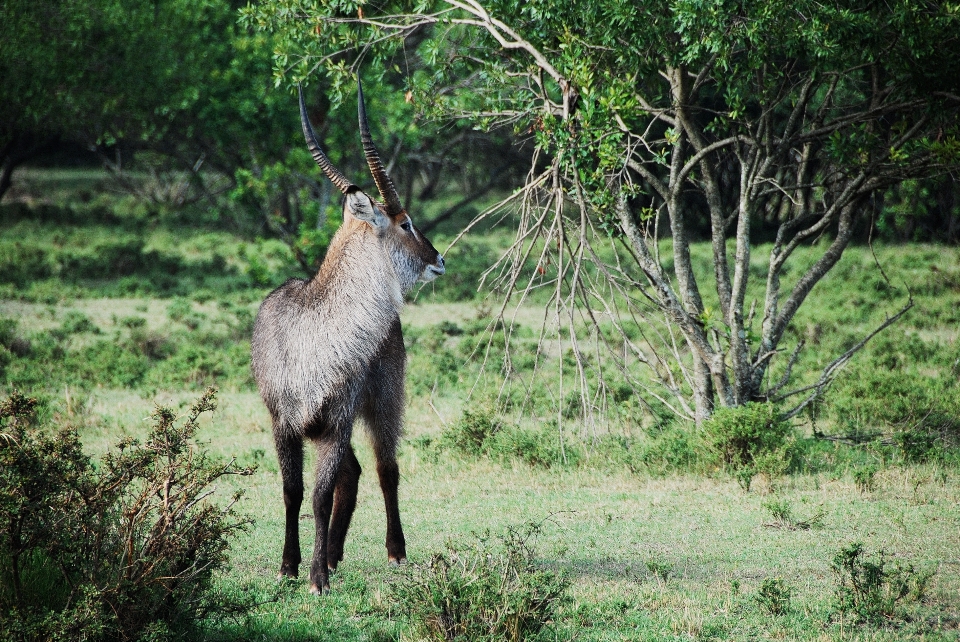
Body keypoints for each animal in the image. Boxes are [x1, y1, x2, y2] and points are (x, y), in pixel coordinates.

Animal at [251, 80, 446, 596]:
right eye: (406, 222)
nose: (439, 258)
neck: (316, 334)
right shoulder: (285, 424)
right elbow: (293, 492)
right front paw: (291, 565)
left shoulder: (335, 424)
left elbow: (320, 496)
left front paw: (316, 577)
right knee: (354, 474)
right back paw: (335, 554)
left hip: (384, 401)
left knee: (384, 469)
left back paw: (393, 551)